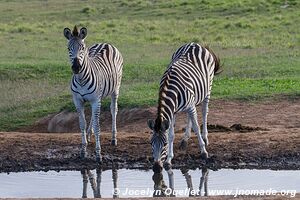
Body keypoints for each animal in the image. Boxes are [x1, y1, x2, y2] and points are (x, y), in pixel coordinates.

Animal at [63, 25, 123, 162]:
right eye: (69, 48)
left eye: (82, 48)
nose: (76, 67)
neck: (81, 80)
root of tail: (105, 43)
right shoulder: (78, 100)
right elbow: (82, 124)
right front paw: (83, 150)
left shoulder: (95, 100)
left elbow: (97, 126)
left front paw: (98, 154)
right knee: (93, 116)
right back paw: (89, 135)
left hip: (115, 88)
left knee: (113, 110)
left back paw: (113, 139)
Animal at [148, 42, 220, 172]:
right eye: (151, 144)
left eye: (164, 144)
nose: (156, 168)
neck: (172, 89)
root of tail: (194, 43)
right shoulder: (173, 111)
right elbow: (171, 134)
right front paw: (169, 160)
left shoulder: (189, 106)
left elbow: (196, 127)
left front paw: (204, 152)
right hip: (193, 99)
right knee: (190, 116)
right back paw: (185, 140)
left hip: (208, 88)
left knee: (204, 112)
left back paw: (205, 138)